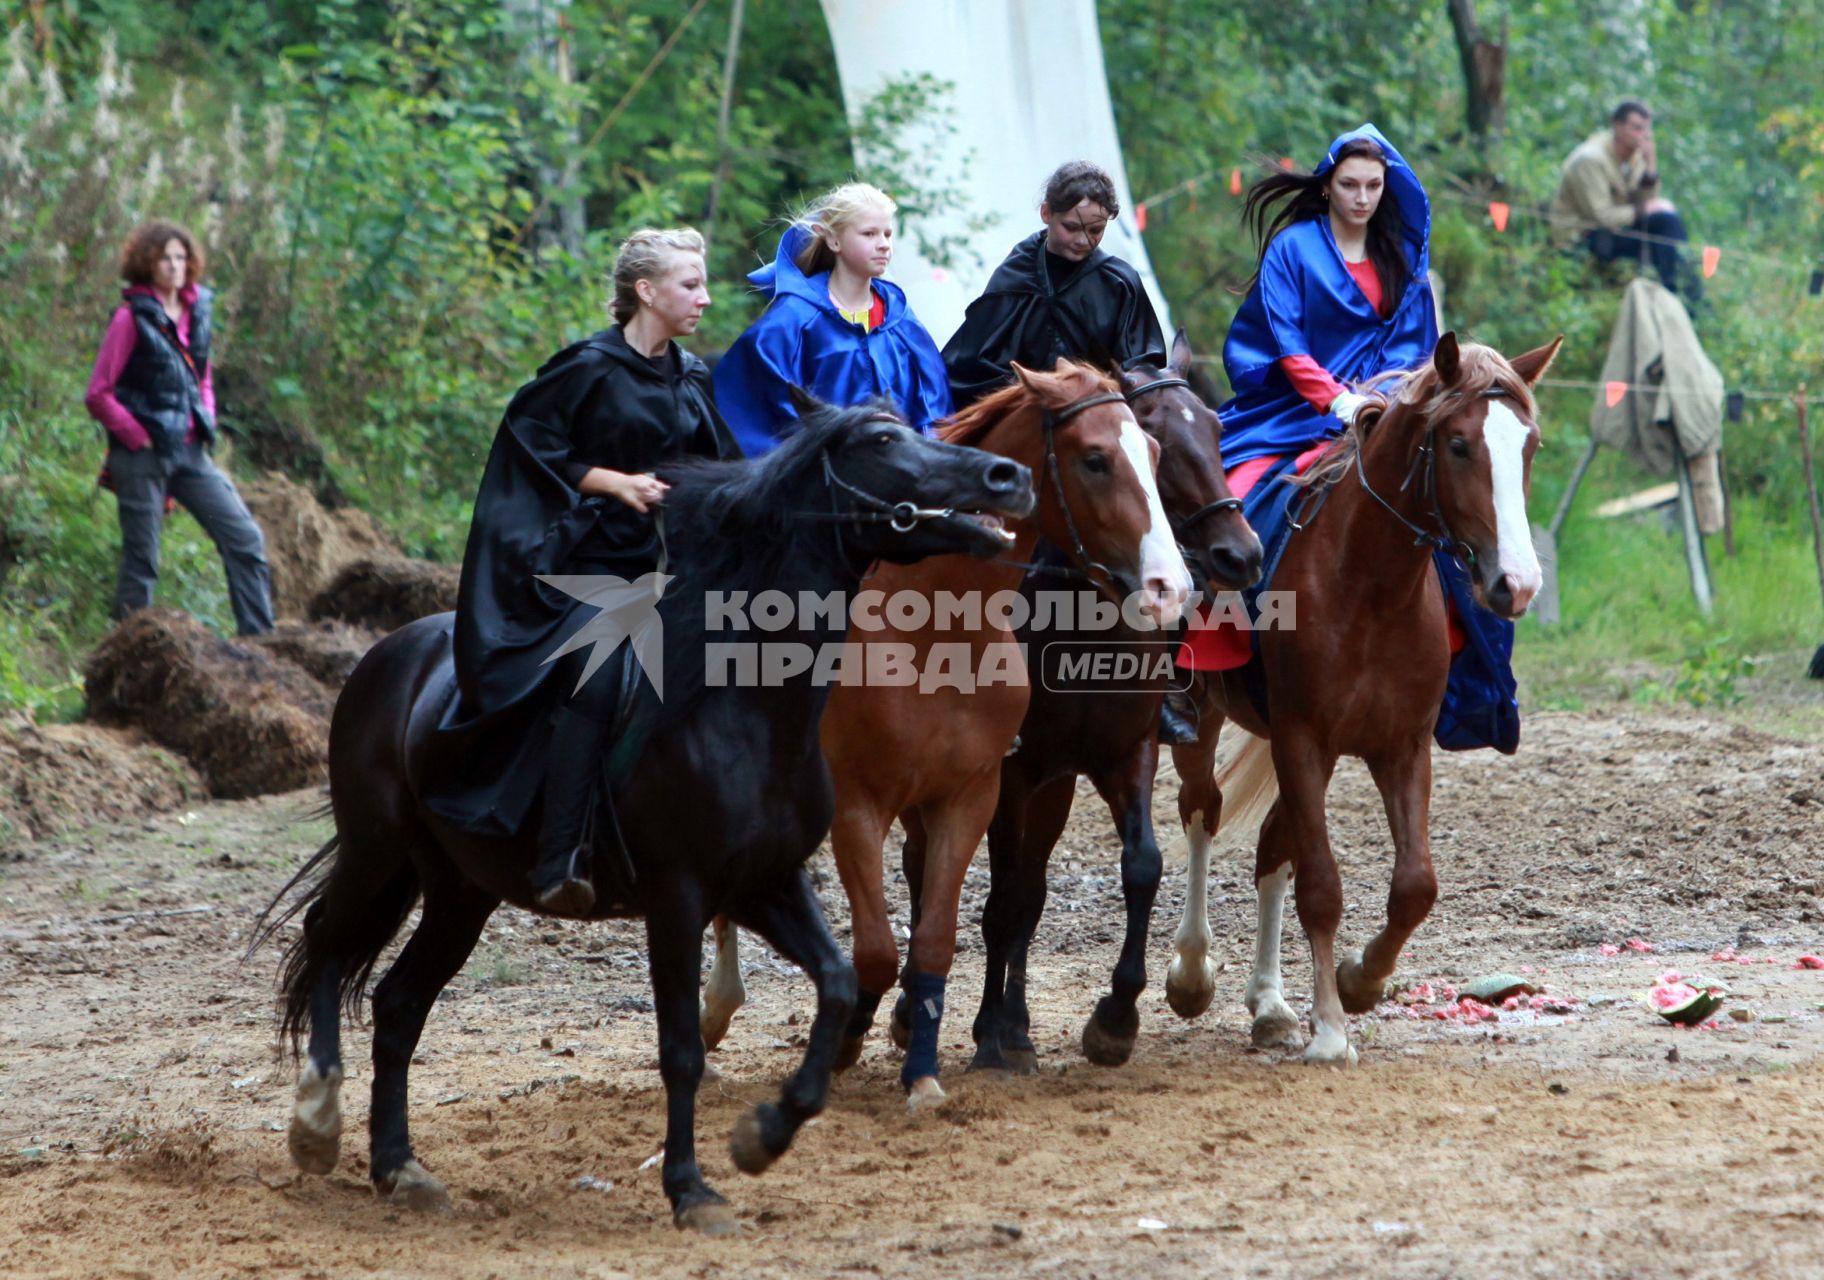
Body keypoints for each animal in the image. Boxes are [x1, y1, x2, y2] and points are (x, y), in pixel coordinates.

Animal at [253, 399, 1043, 1232]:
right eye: (883, 440)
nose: (1009, 477)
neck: (738, 705)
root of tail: (387, 656)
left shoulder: (764, 884)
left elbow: (833, 982)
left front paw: (764, 1136)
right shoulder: (678, 898)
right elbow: (682, 1050)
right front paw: (690, 1187)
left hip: (460, 889)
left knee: (398, 1002)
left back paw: (399, 1167)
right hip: (377, 852)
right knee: (327, 944)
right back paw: (317, 1120)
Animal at [689, 361, 1189, 1115]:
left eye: (1155, 455)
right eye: (1096, 459)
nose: (1169, 587)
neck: (932, 634)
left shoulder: (979, 792)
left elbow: (939, 935)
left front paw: (928, 1067)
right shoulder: (860, 806)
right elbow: (876, 946)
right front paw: (851, 1036)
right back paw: (715, 1013)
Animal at [1160, 331, 1561, 1064]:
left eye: (1530, 445)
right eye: (1458, 445)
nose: (1516, 584)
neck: (1370, 583)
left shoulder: (1401, 748)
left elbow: (1415, 886)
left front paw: (1358, 980)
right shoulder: (1302, 739)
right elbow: (1321, 887)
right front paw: (1330, 1030)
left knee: (1272, 846)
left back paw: (1271, 1005)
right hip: (1206, 717)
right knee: (1203, 811)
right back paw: (1193, 973)